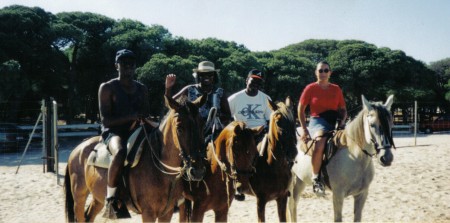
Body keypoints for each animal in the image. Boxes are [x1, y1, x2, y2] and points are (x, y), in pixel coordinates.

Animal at [64, 95, 208, 221]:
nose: (198, 171)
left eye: (202, 125)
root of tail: (77, 149)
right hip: (79, 198)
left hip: (98, 197)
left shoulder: (166, 213)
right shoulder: (148, 213)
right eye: (179, 128)